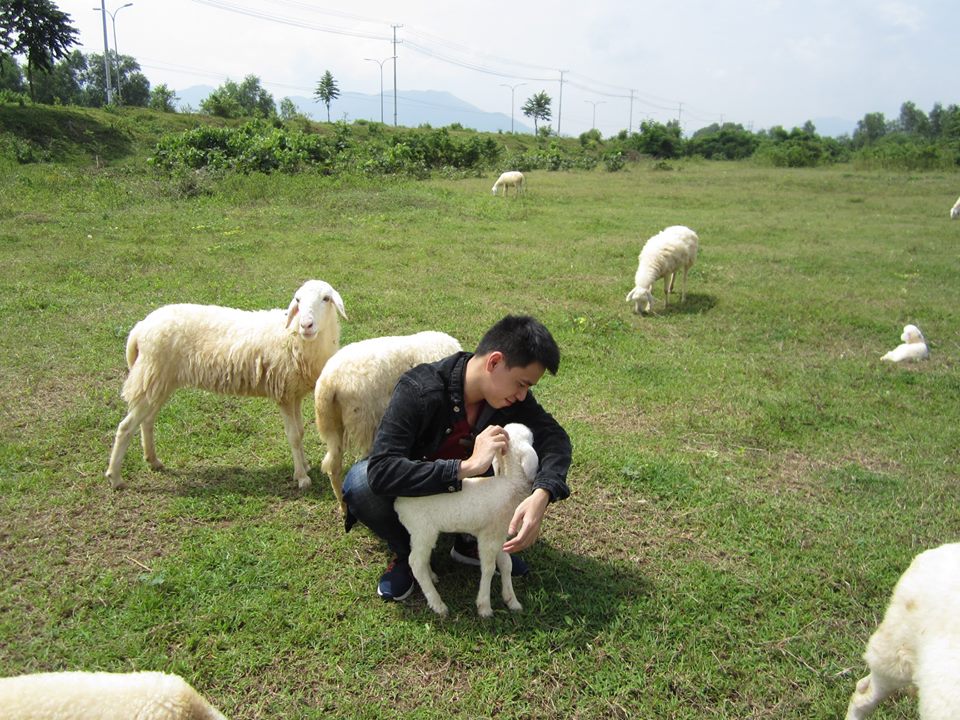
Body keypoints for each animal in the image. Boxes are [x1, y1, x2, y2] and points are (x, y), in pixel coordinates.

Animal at [104, 280, 344, 490]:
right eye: (298, 300)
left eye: (326, 298)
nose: (306, 325)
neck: (293, 336)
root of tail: (140, 328)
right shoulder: (283, 393)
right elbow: (293, 437)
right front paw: (302, 478)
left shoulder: (294, 393)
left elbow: (301, 432)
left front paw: (303, 466)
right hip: (152, 374)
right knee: (125, 427)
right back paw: (115, 478)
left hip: (160, 381)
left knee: (147, 421)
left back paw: (153, 460)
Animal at [392, 422, 540, 620]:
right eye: (531, 439)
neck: (511, 484)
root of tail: (399, 502)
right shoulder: (488, 536)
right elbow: (489, 568)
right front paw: (484, 607)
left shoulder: (499, 534)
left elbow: (506, 564)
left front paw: (512, 601)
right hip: (423, 529)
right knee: (415, 562)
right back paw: (437, 604)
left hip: (420, 533)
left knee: (420, 558)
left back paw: (432, 576)